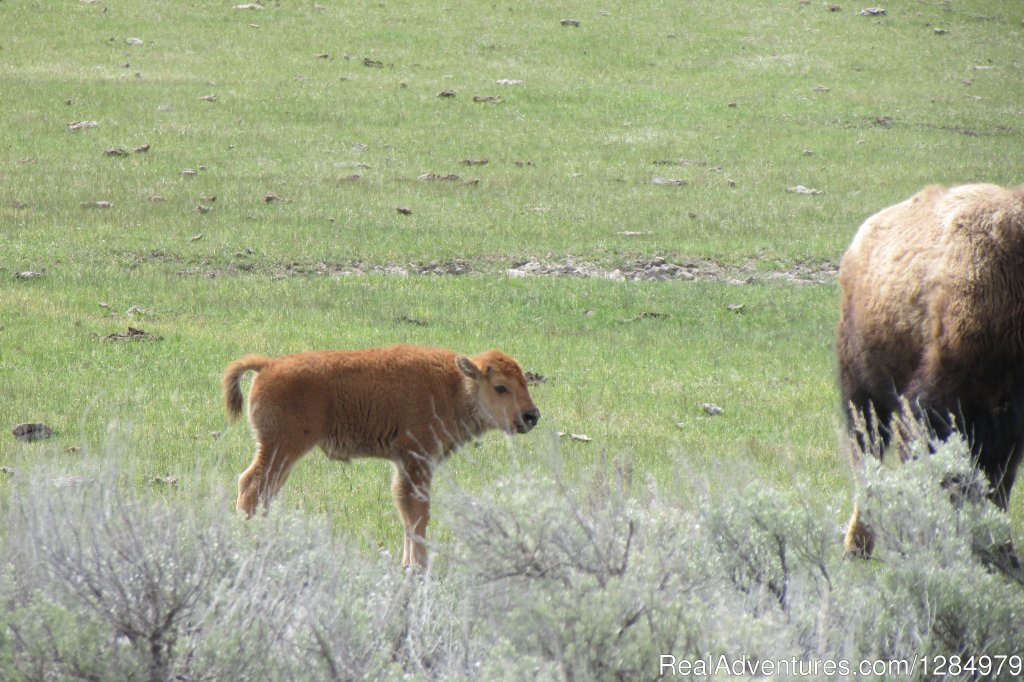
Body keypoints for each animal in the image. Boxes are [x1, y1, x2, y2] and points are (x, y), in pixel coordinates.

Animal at [222, 342, 544, 565]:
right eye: (500, 387)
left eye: (525, 382)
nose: (531, 416)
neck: (455, 386)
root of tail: (268, 365)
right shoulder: (417, 462)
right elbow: (418, 514)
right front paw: (419, 567)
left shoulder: (404, 465)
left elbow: (407, 513)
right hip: (282, 447)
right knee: (252, 485)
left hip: (281, 453)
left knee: (264, 491)